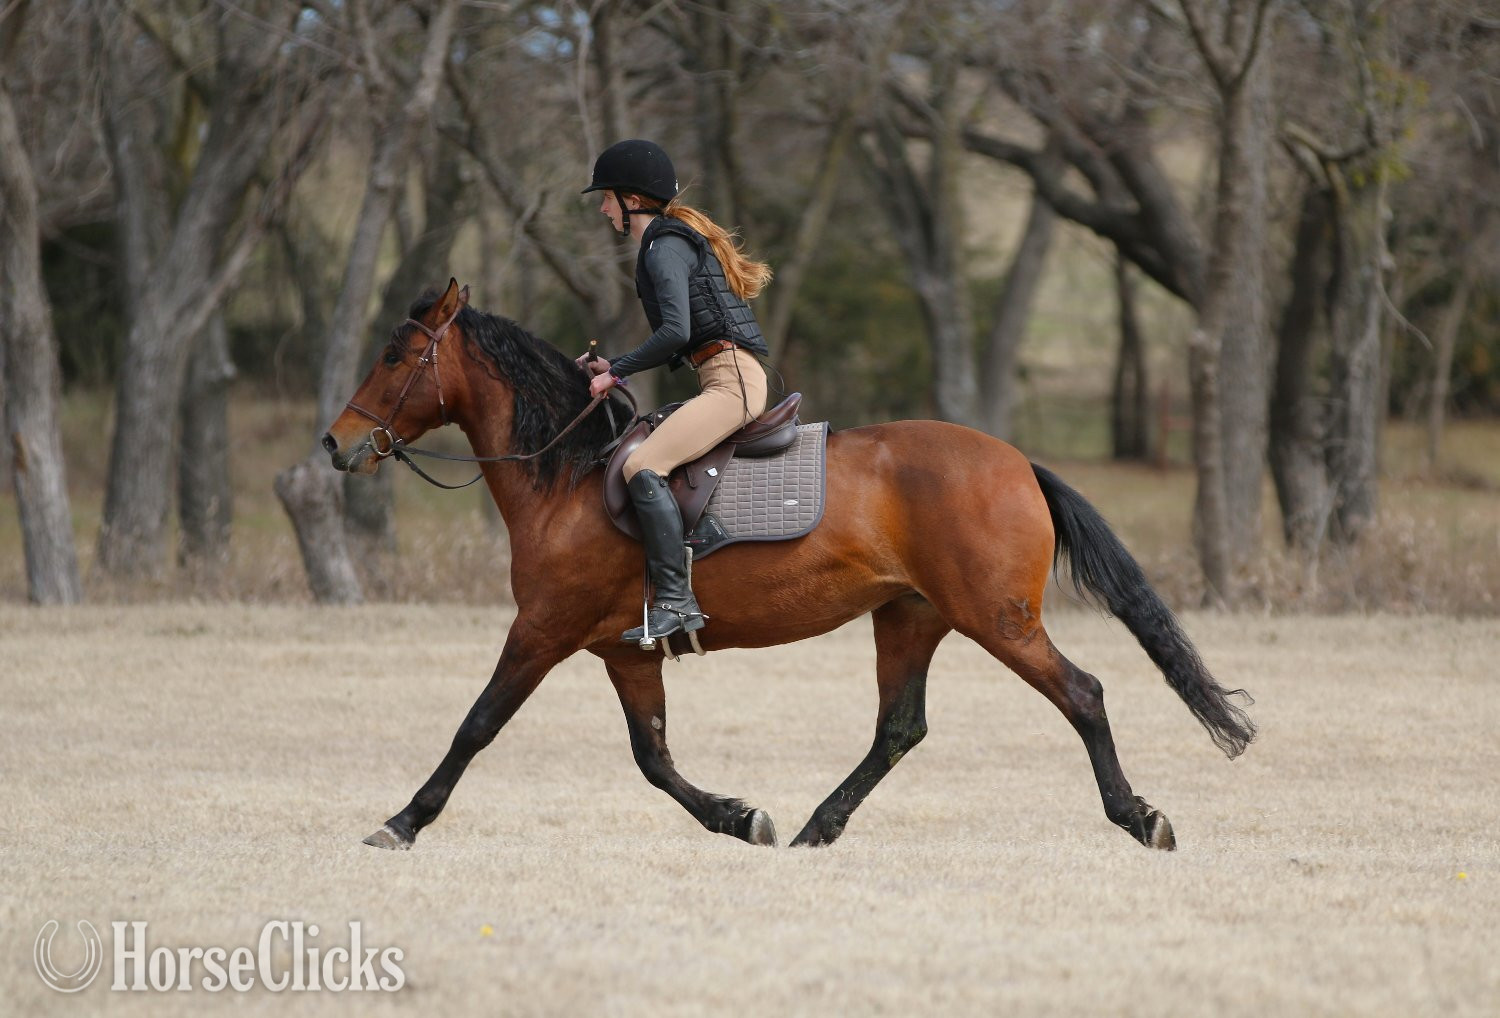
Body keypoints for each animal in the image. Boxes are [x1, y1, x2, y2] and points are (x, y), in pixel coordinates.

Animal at [322, 279, 1255, 852]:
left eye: (397, 357)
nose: (335, 445)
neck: (569, 474)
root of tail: (1017, 461)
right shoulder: (624, 649)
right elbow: (653, 757)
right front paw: (741, 818)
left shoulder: (543, 630)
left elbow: (476, 725)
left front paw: (402, 821)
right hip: (910, 617)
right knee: (898, 728)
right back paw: (817, 826)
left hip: (997, 619)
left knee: (1082, 694)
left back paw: (1139, 817)